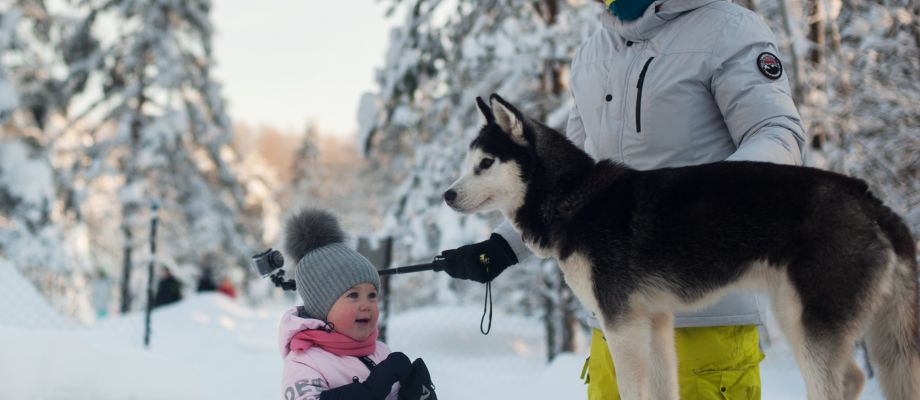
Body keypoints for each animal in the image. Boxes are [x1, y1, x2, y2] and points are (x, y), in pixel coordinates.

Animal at [444, 94, 920, 400]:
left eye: (485, 163)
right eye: (467, 163)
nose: (447, 195)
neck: (572, 197)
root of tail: (869, 198)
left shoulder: (623, 327)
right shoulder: (654, 322)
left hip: (809, 323)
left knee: (840, 382)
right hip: (809, 320)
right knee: (857, 378)